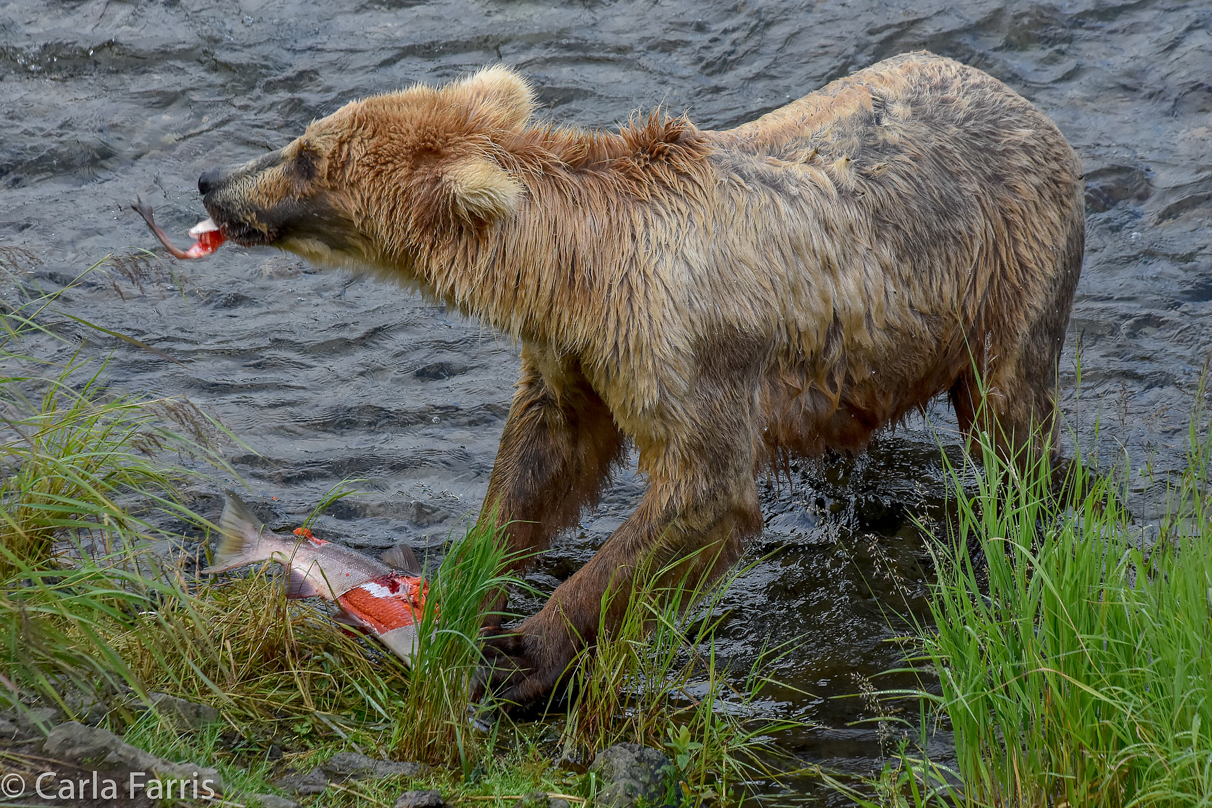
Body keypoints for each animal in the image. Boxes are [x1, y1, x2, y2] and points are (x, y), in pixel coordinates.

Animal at [193, 52, 1085, 707]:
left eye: (308, 156)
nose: (212, 180)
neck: (580, 269)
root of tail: (1026, 104)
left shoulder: (684, 347)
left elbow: (700, 495)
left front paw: (522, 654)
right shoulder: (574, 354)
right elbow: (542, 461)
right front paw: (468, 585)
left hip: (1008, 276)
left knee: (1011, 424)